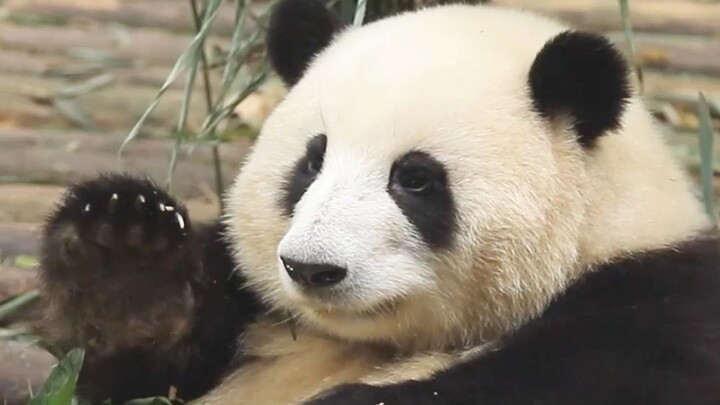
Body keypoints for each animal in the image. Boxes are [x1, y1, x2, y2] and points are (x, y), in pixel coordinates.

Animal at [36, 0, 720, 404]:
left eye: (414, 180)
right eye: (312, 161)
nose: (312, 268)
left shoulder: (652, 310)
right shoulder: (252, 314)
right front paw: (123, 252)